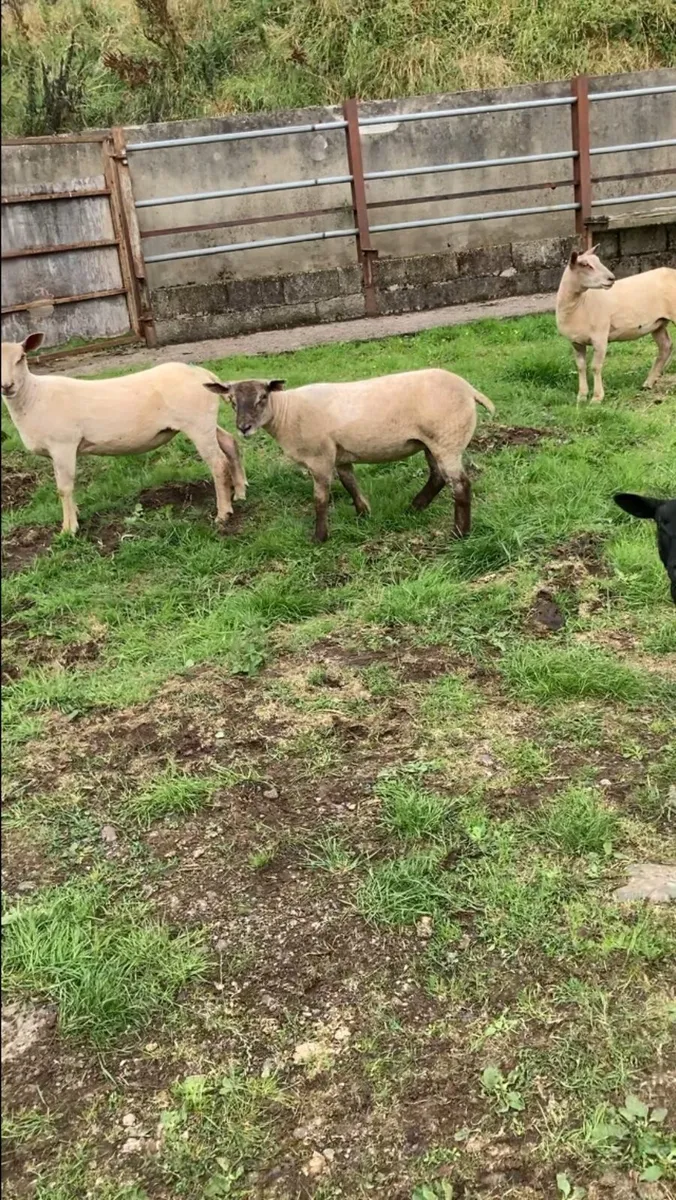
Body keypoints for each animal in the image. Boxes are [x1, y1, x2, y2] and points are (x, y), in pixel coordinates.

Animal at [0, 333, 246, 534]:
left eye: (21, 357)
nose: (7, 386)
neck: (33, 396)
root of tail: (204, 374)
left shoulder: (63, 445)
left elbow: (64, 488)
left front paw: (68, 529)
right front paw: (75, 515)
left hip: (197, 423)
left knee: (218, 463)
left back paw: (223, 513)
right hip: (204, 422)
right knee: (230, 442)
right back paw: (240, 492)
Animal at [204, 368, 495, 543]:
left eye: (263, 397)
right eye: (231, 401)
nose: (244, 427)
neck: (287, 412)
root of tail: (469, 390)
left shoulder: (319, 458)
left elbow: (320, 499)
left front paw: (319, 537)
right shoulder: (341, 455)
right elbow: (350, 483)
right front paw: (363, 514)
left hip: (447, 440)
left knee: (461, 485)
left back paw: (459, 532)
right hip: (432, 443)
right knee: (437, 477)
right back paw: (415, 507)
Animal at [556, 249, 676, 403]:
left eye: (598, 260)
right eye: (585, 265)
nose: (611, 278)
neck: (580, 304)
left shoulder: (600, 337)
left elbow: (595, 367)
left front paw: (596, 398)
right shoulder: (576, 342)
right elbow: (581, 366)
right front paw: (581, 396)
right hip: (658, 323)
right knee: (665, 346)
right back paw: (648, 383)